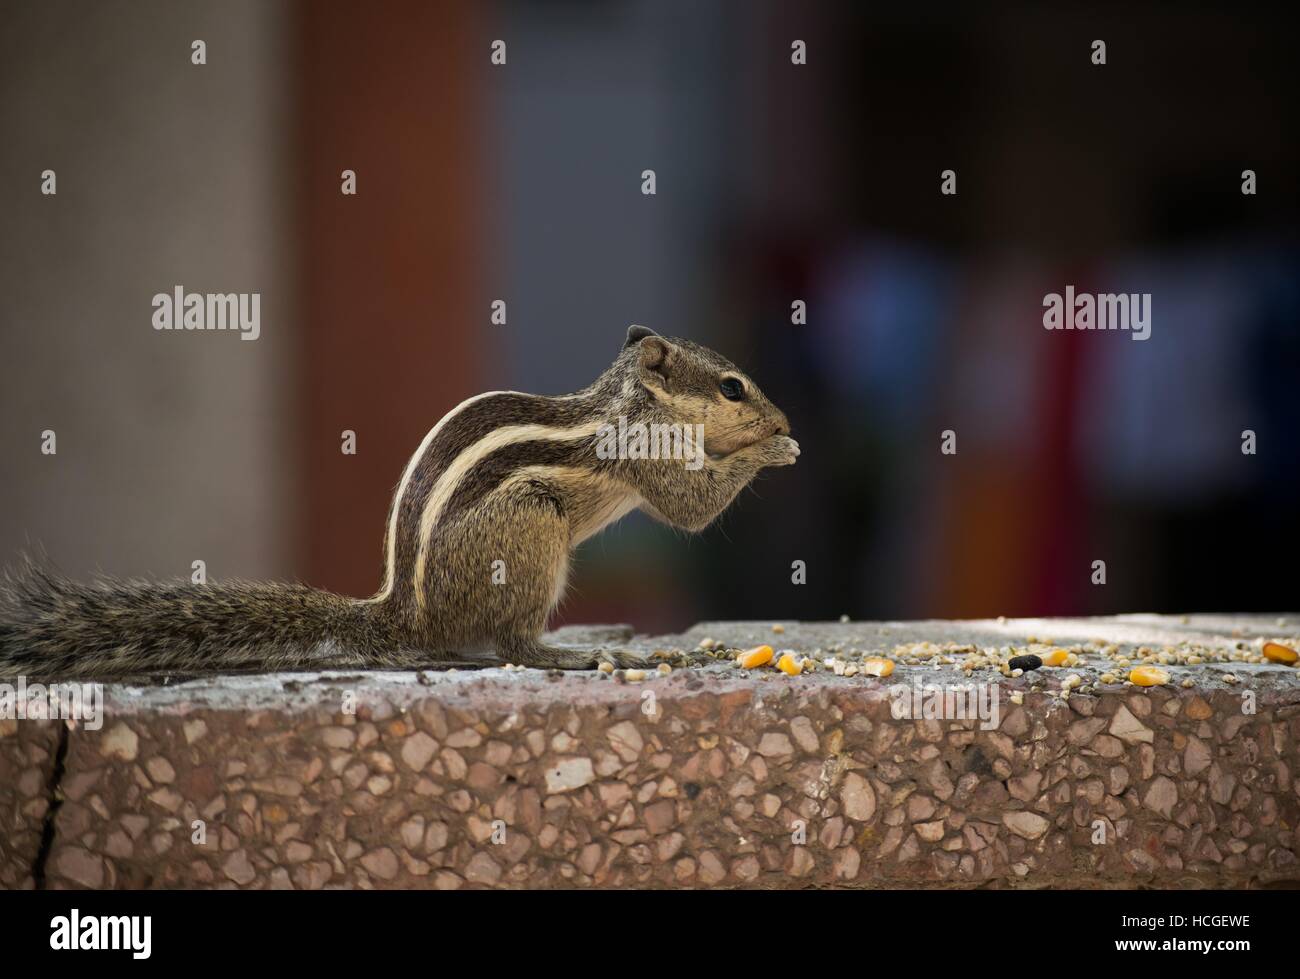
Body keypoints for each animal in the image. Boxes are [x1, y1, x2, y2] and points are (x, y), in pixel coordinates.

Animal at [0, 325, 790, 676]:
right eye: (732, 387)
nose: (781, 417)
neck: (628, 402)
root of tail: (405, 613)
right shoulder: (643, 453)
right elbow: (687, 506)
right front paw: (775, 450)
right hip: (530, 523)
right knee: (514, 644)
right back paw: (578, 654)